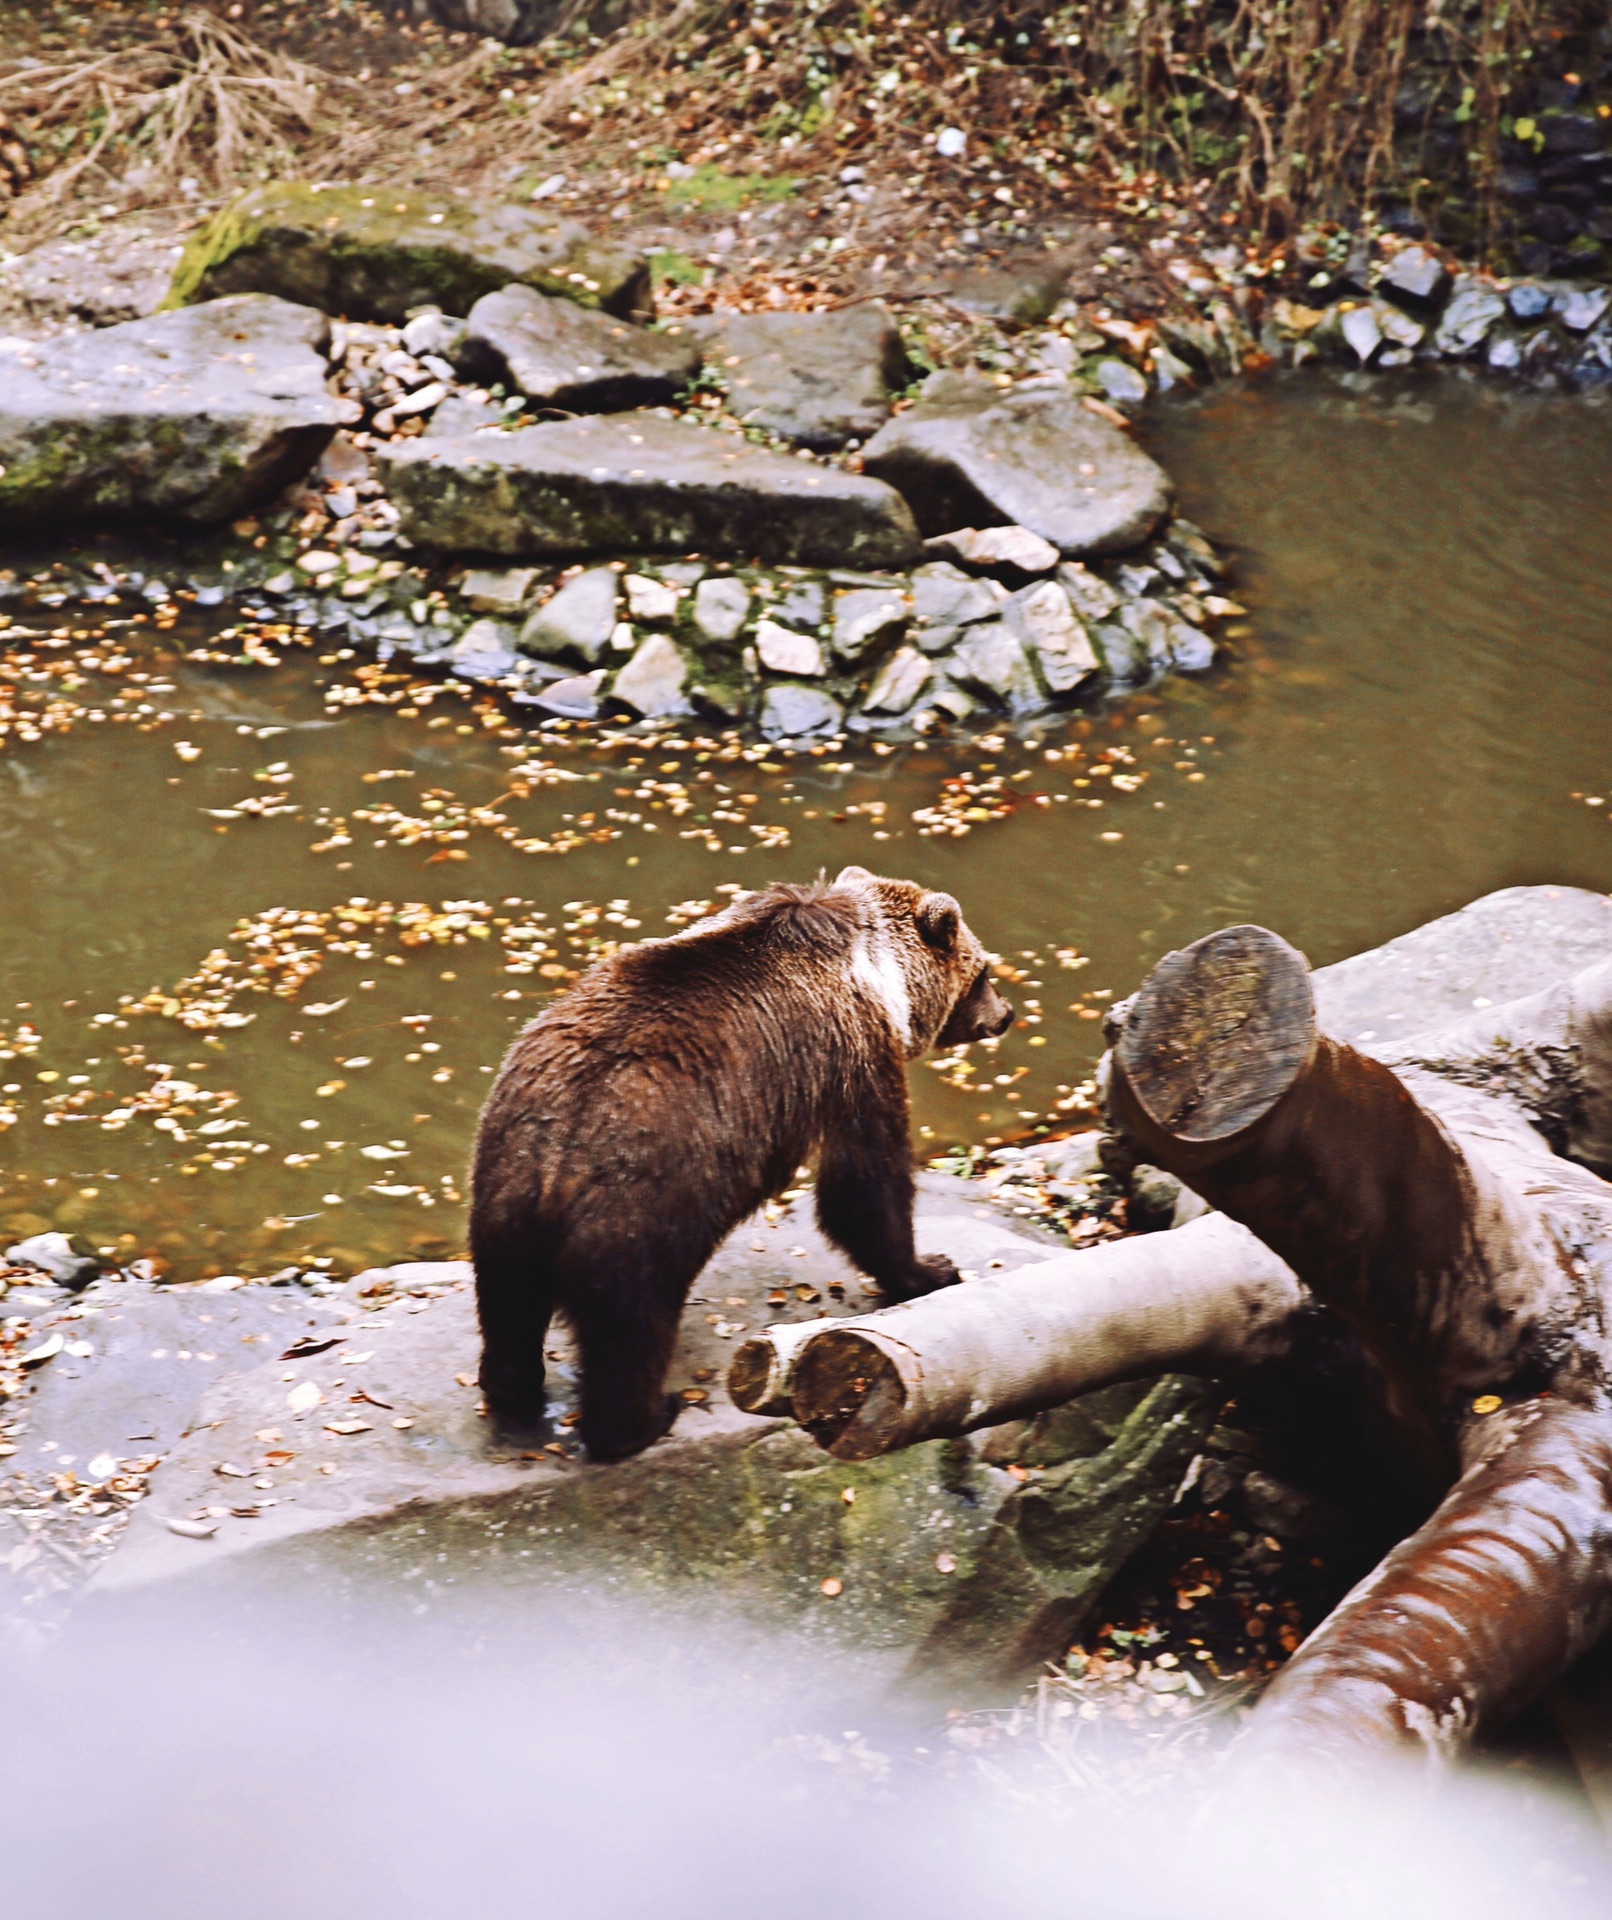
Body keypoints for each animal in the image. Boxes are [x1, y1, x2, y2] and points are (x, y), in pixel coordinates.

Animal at [466, 867, 1013, 1451]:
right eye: (984, 971)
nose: (1005, 1015)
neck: (879, 973)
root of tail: (555, 1157)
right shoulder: (852, 1059)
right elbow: (865, 1184)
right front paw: (932, 1267)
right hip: (644, 1201)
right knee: (631, 1325)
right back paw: (648, 1417)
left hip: (503, 1193)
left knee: (508, 1307)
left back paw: (511, 1388)